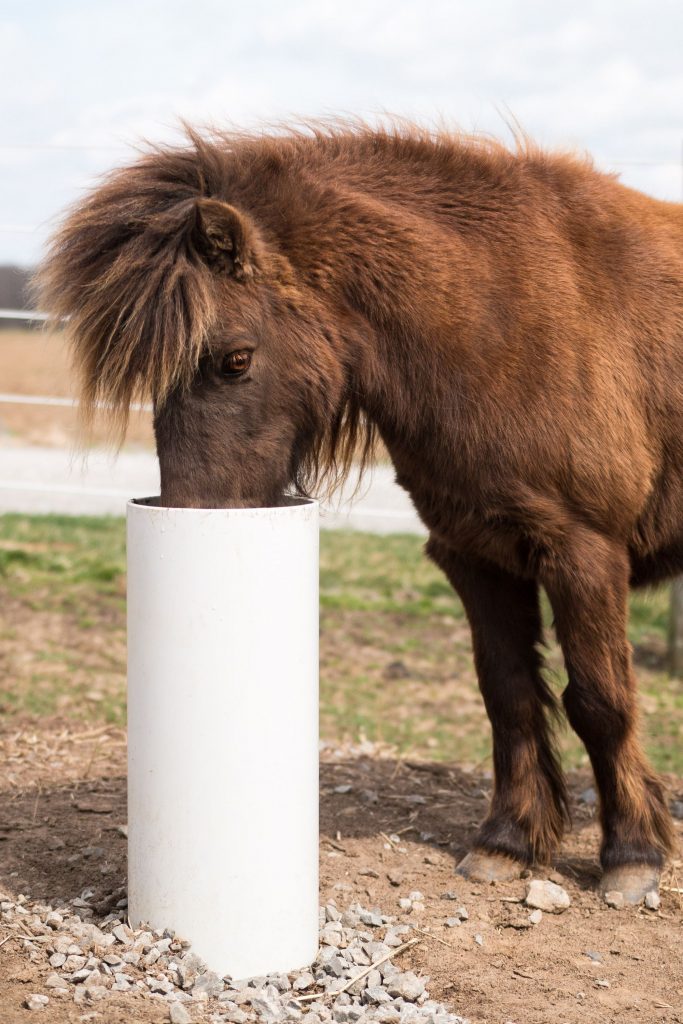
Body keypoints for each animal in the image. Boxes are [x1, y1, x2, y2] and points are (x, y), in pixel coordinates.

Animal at [37, 121, 683, 904]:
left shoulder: (583, 551)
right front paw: (506, 842)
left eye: (234, 359)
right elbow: (507, 695)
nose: (201, 512)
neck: (501, 315)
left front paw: (632, 855)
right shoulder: (476, 553)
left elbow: (598, 700)